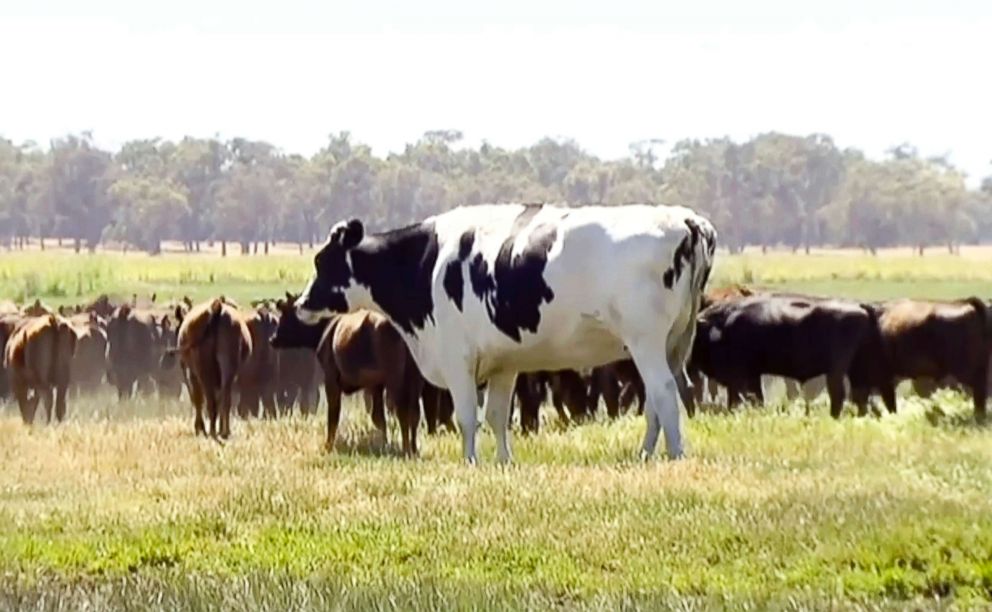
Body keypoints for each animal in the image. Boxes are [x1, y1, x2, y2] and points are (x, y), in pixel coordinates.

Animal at [168, 298, 254, 438]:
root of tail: (216, 308)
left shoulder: (191, 373)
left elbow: (197, 398)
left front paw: (199, 428)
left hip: (203, 370)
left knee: (208, 399)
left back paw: (212, 431)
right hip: (228, 366)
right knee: (224, 397)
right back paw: (224, 431)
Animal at [270, 294, 424, 456]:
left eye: (285, 314)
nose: (272, 339)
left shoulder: (331, 378)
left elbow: (334, 414)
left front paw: (328, 446)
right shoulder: (375, 384)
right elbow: (378, 417)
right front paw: (384, 445)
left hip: (396, 377)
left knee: (402, 411)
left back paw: (406, 450)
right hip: (415, 378)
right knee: (415, 412)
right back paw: (414, 449)